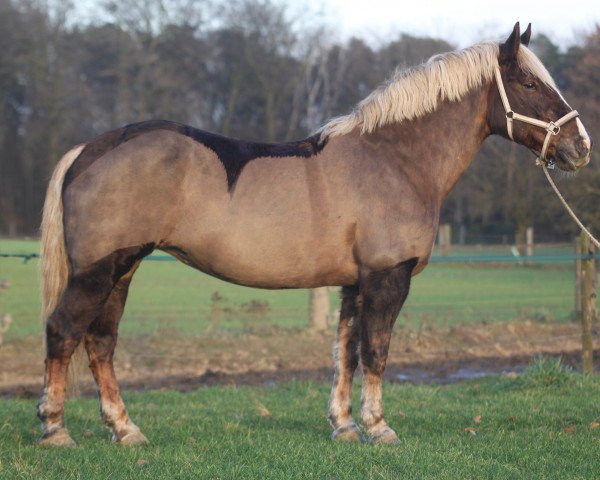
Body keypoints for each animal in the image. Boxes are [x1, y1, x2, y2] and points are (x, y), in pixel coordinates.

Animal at [36, 23, 592, 446]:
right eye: (528, 83)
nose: (580, 146)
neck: (394, 159)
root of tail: (90, 149)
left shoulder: (354, 283)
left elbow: (345, 351)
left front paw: (344, 426)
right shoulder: (388, 278)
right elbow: (377, 350)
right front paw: (378, 427)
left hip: (122, 270)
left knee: (101, 342)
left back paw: (125, 429)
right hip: (98, 272)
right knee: (63, 331)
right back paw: (55, 430)